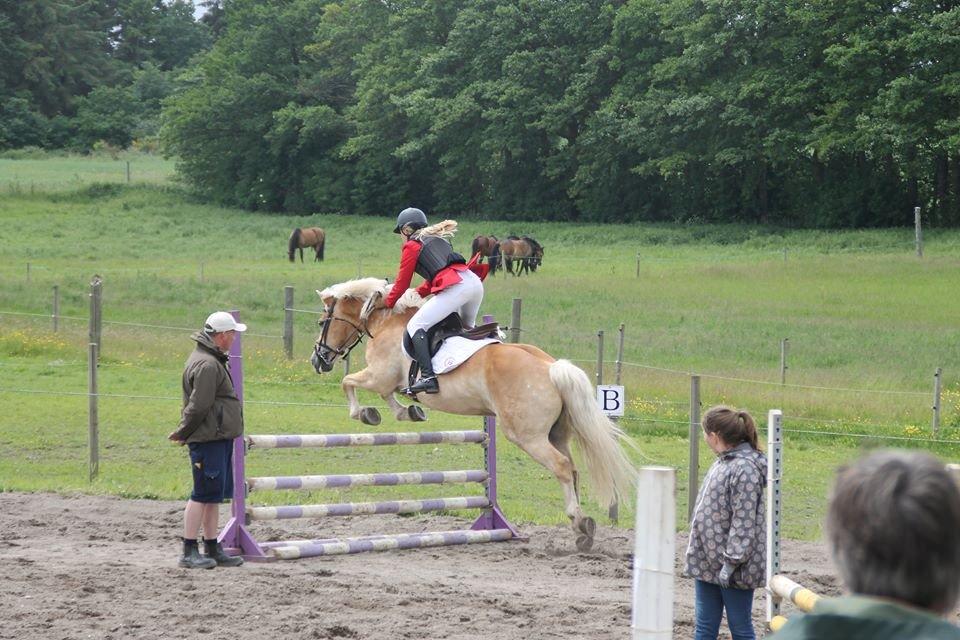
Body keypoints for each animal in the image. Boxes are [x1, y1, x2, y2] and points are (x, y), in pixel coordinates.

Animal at [310, 278, 636, 552]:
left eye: (322, 322)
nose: (318, 360)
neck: (386, 321)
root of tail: (552, 368)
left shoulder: (379, 376)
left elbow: (349, 382)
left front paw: (365, 413)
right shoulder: (387, 381)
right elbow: (388, 396)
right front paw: (409, 411)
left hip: (526, 436)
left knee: (562, 467)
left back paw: (579, 524)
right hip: (556, 433)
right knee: (573, 469)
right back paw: (583, 528)